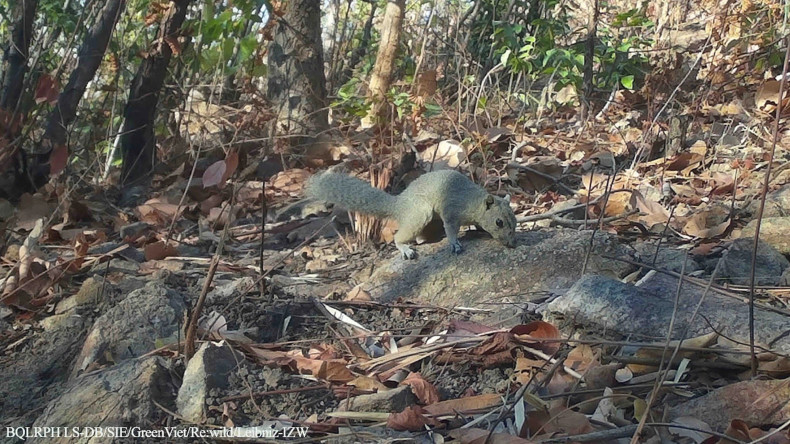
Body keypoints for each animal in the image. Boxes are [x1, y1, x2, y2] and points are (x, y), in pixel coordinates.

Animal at [305, 169, 517, 259]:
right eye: (499, 222)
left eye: (514, 221)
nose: (512, 244)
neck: (473, 202)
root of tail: (399, 205)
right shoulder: (451, 210)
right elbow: (451, 229)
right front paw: (455, 243)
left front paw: (478, 229)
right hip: (420, 214)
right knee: (399, 237)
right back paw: (405, 248)